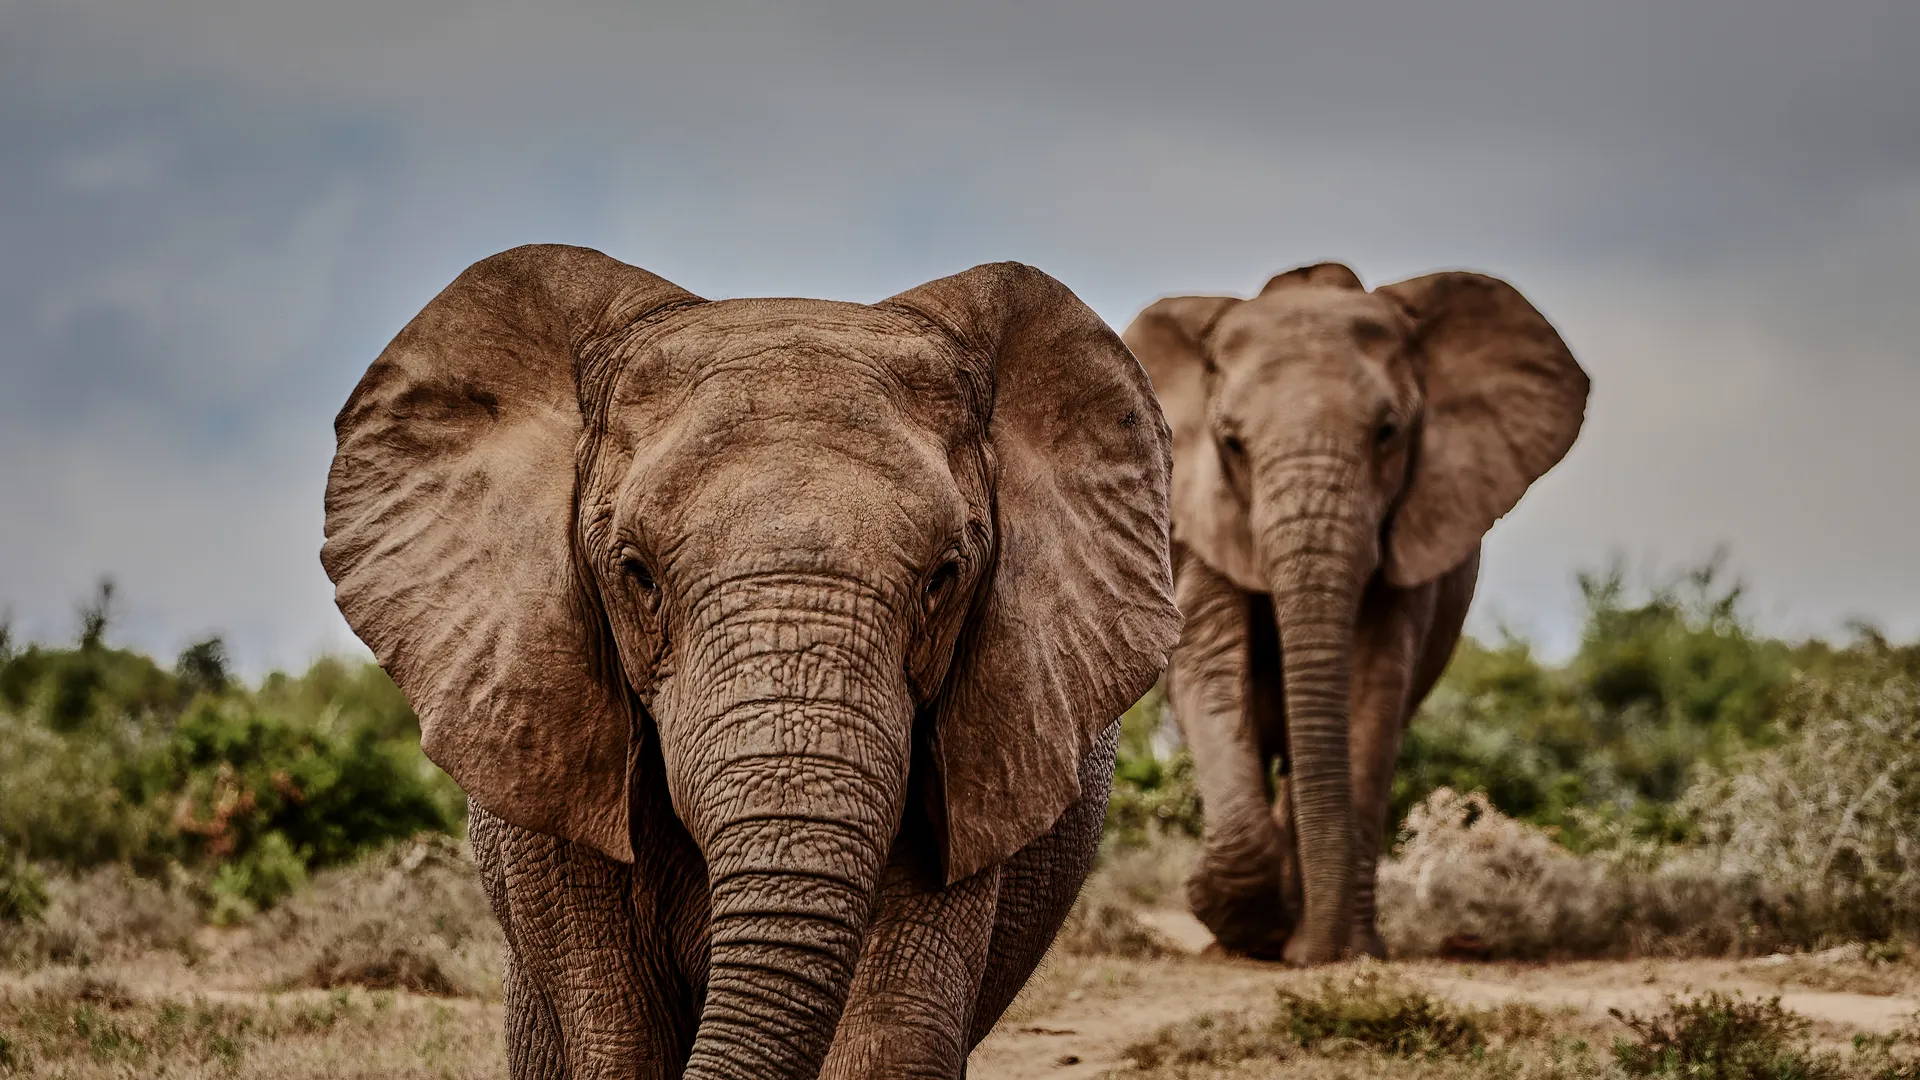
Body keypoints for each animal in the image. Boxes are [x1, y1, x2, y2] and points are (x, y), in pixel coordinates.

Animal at [1122, 262, 1589, 966]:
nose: (1309, 956)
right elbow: (1210, 667)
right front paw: (1238, 922)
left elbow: (1372, 686)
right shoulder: (1196, 519)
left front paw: (1330, 948)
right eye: (1231, 443)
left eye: (1387, 433)